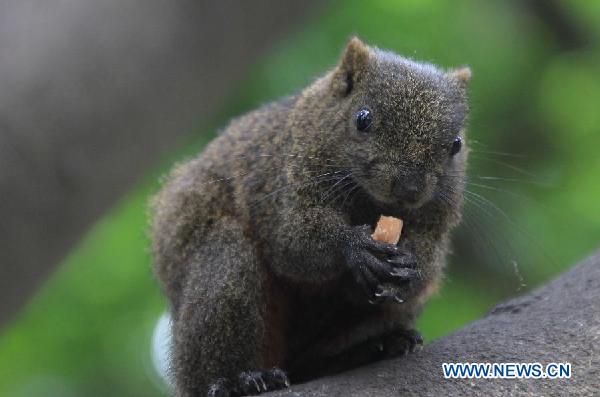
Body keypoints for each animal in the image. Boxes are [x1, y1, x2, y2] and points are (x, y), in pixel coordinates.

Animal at [149, 37, 468, 396]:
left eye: (456, 144)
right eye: (363, 119)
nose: (409, 187)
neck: (369, 202)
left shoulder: (436, 220)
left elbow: (427, 261)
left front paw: (411, 269)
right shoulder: (281, 185)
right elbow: (292, 243)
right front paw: (353, 246)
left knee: (314, 360)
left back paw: (373, 348)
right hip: (222, 274)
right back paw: (235, 380)